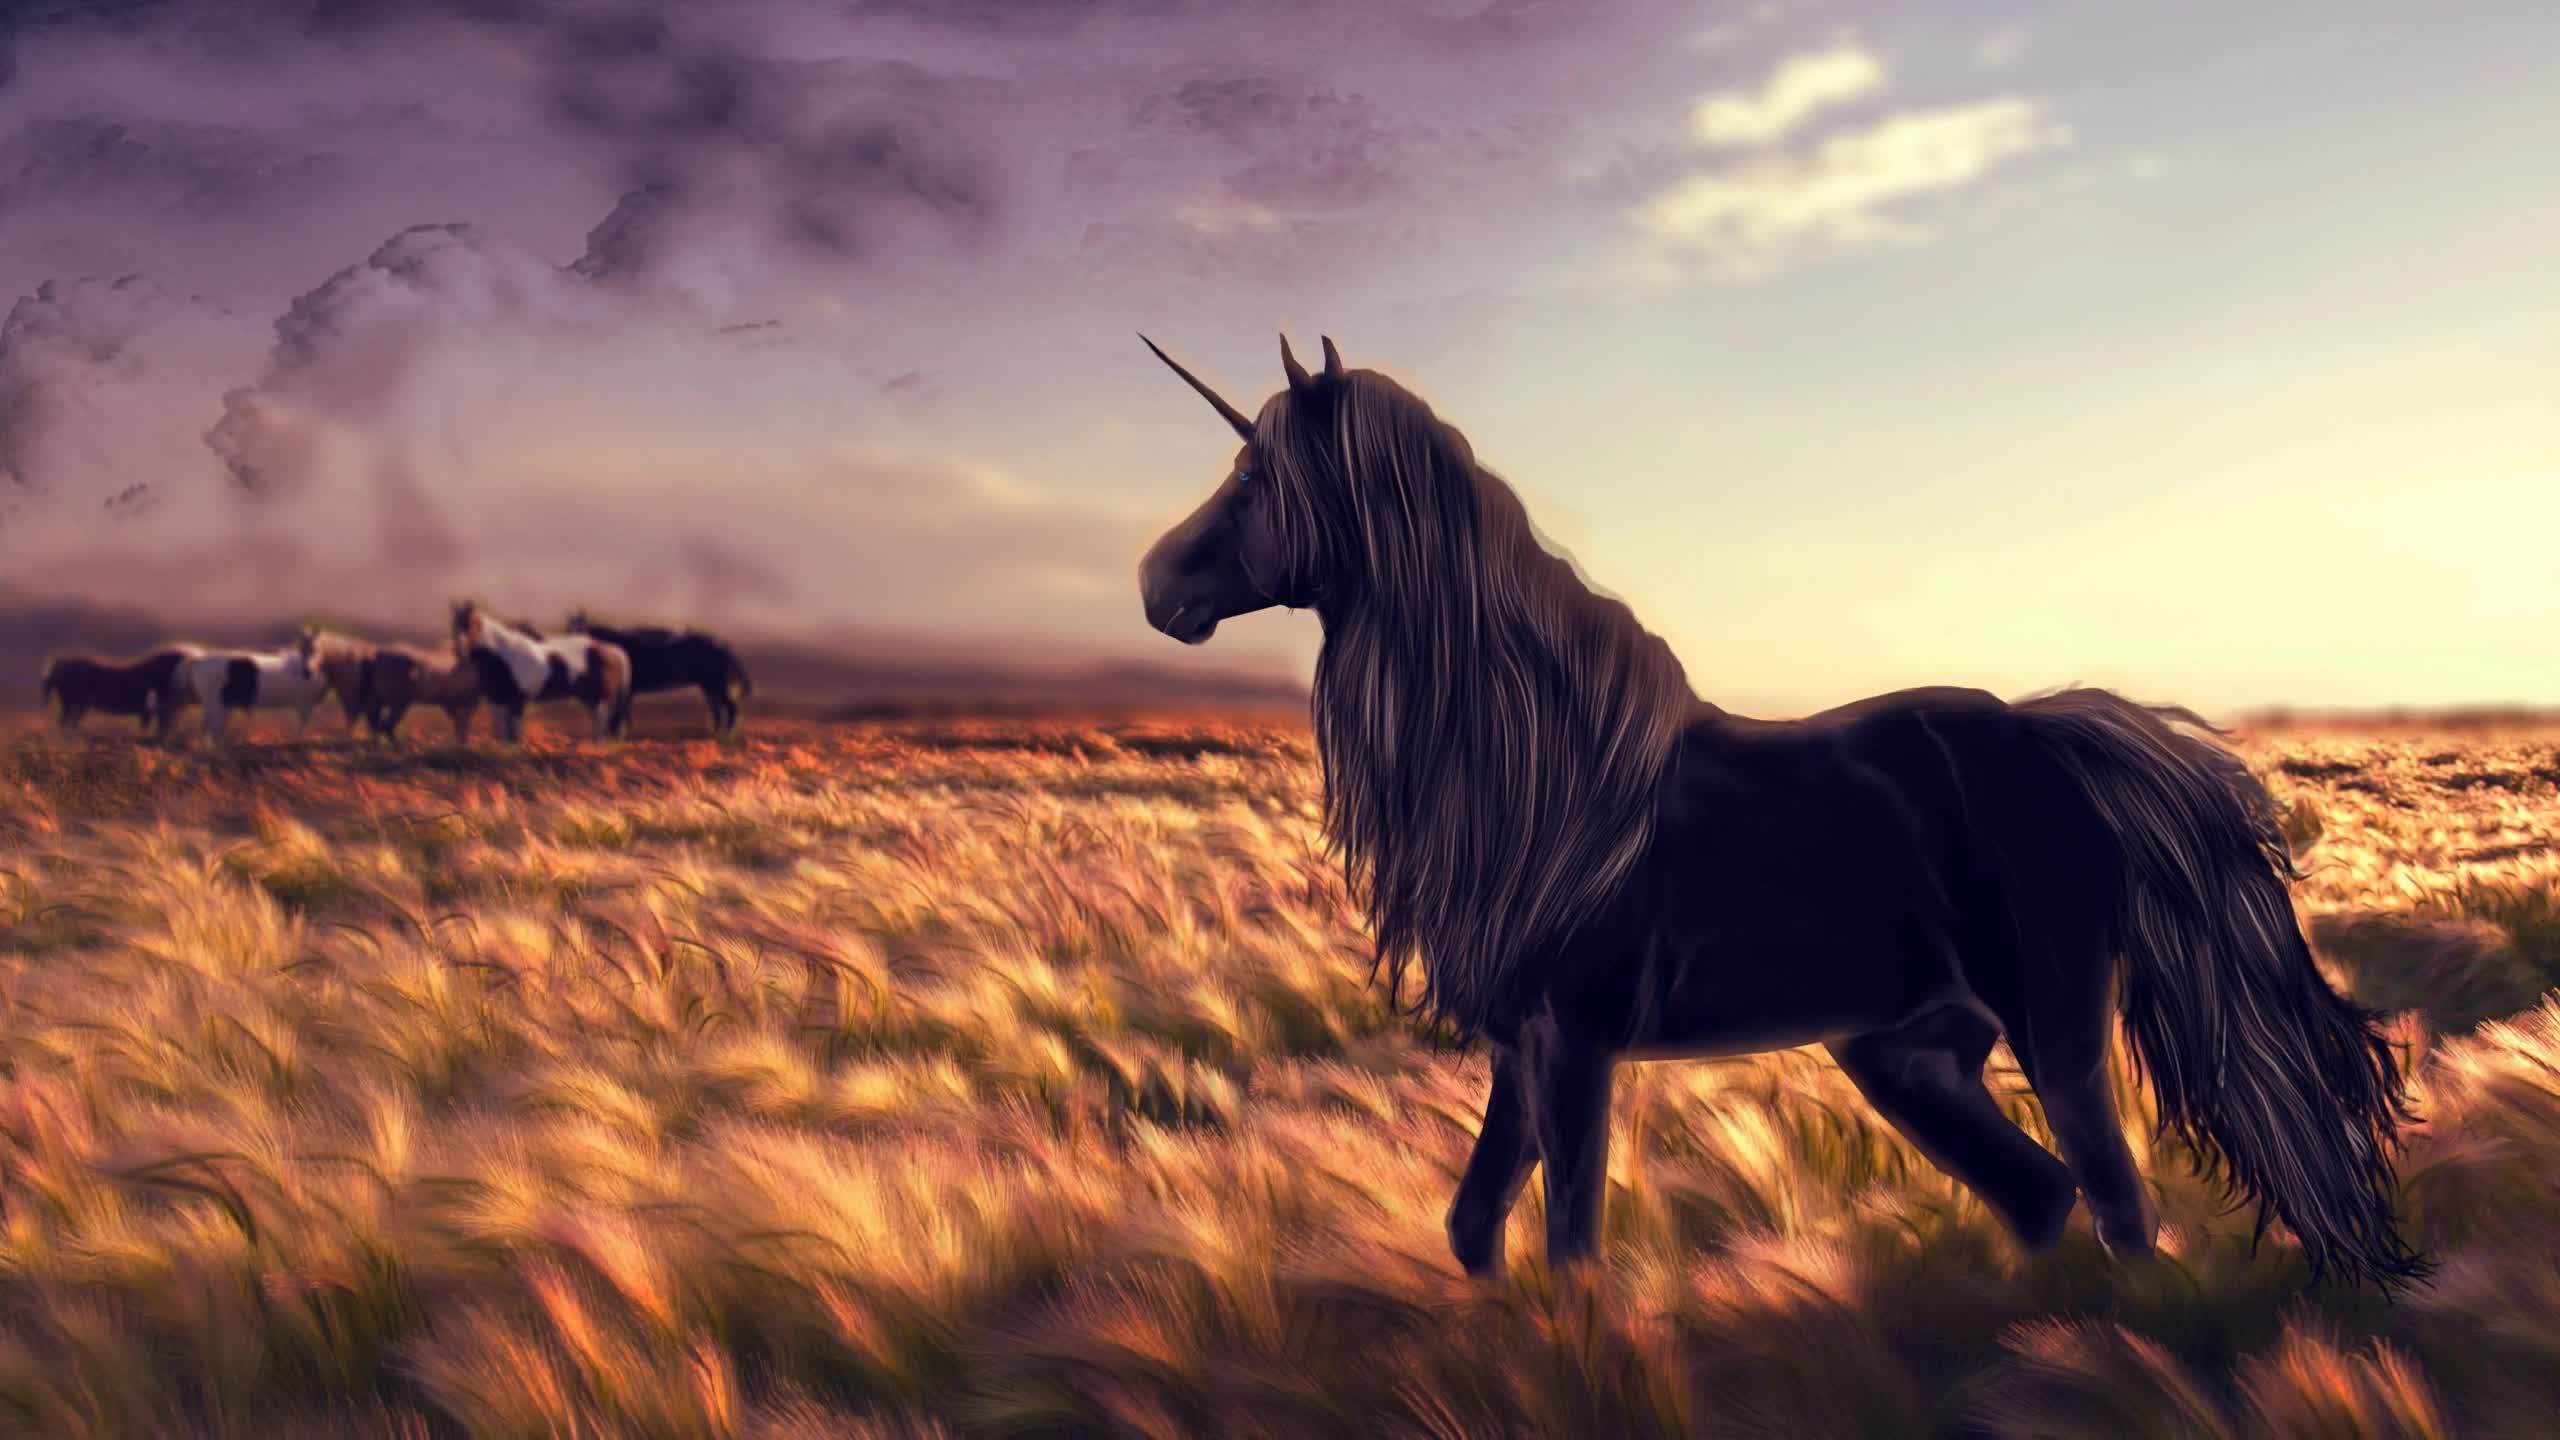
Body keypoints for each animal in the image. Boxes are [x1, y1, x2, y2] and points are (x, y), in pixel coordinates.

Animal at [169, 639, 330, 744]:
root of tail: (198, 661)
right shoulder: (305, 703)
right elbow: (302, 727)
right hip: (216, 705)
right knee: (210, 729)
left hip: (220, 706)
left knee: (210, 729)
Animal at [451, 601, 631, 742]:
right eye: (454, 625)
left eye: (471, 625)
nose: (459, 652)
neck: (503, 656)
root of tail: (612, 650)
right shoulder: (496, 699)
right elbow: (502, 732)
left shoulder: (517, 700)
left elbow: (514, 732)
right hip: (589, 698)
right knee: (597, 724)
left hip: (601, 699)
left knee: (601, 725)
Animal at [564, 609, 753, 735]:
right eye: (568, 630)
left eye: (583, 631)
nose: (573, 642)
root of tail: (722, 644)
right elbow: (624, 713)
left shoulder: (626, 689)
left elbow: (622, 712)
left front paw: (619, 733)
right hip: (708, 685)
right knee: (717, 709)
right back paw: (715, 733)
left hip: (717, 683)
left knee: (731, 709)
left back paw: (727, 735)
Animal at [1134, 334, 2429, 1295]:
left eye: (1256, 481)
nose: (1155, 584)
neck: (1548, 779)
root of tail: (2046, 736)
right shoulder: (1520, 1045)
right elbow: (1472, 1231)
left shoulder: (1575, 1045)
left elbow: (1569, 1248)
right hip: (1904, 1051)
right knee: (2044, 1197)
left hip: (2052, 1029)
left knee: (2111, 1204)